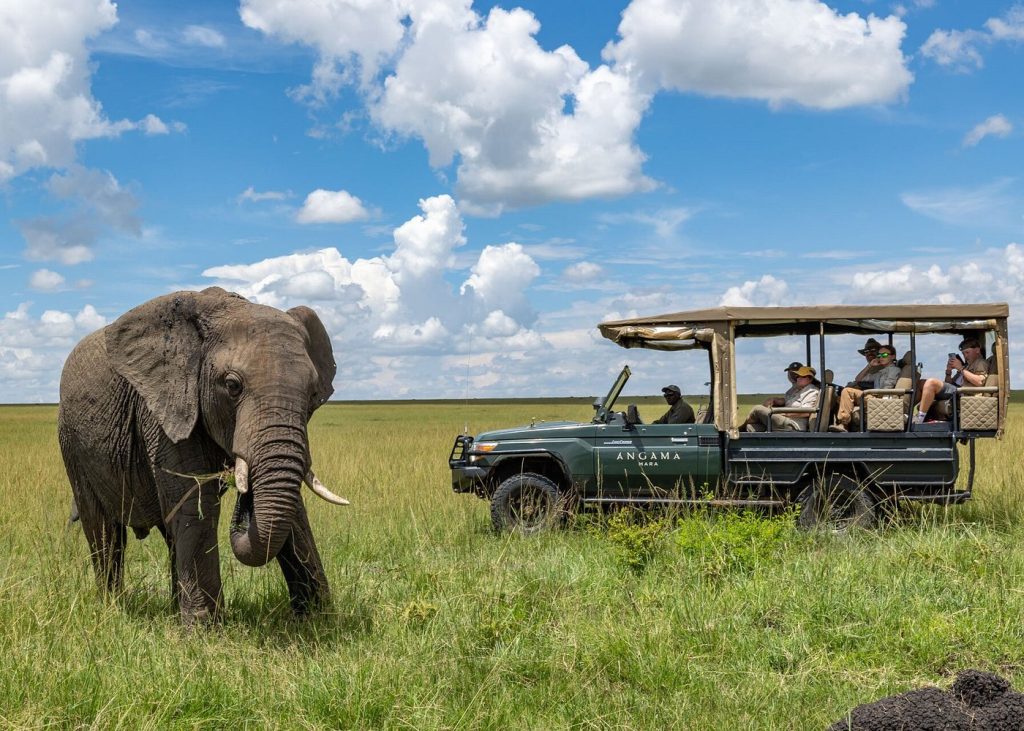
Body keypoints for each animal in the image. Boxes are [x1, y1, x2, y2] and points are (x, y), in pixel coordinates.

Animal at [59, 284, 348, 622]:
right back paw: (113, 609)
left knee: (169, 533)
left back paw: (173, 611)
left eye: (313, 393)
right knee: (104, 532)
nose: (243, 497)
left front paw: (318, 620)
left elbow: (294, 511)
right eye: (232, 386)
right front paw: (205, 630)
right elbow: (197, 503)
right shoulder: (165, 407)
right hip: (72, 443)